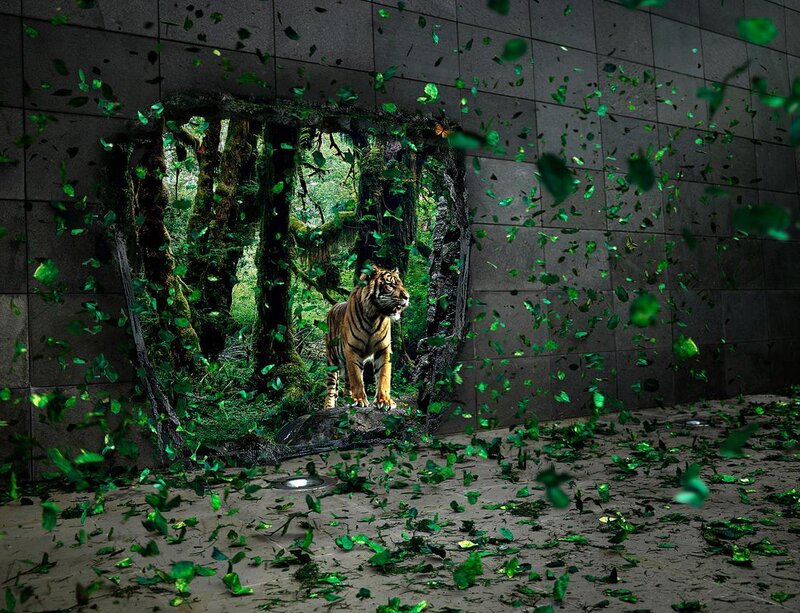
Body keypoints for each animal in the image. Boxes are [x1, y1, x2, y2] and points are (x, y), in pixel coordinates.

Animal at [324, 266, 410, 410]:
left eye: (401, 284)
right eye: (390, 285)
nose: (407, 297)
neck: (373, 316)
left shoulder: (383, 349)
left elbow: (383, 375)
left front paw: (385, 400)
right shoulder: (352, 349)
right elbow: (357, 378)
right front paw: (359, 400)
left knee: (347, 383)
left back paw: (348, 399)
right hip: (332, 360)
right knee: (331, 388)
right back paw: (329, 406)